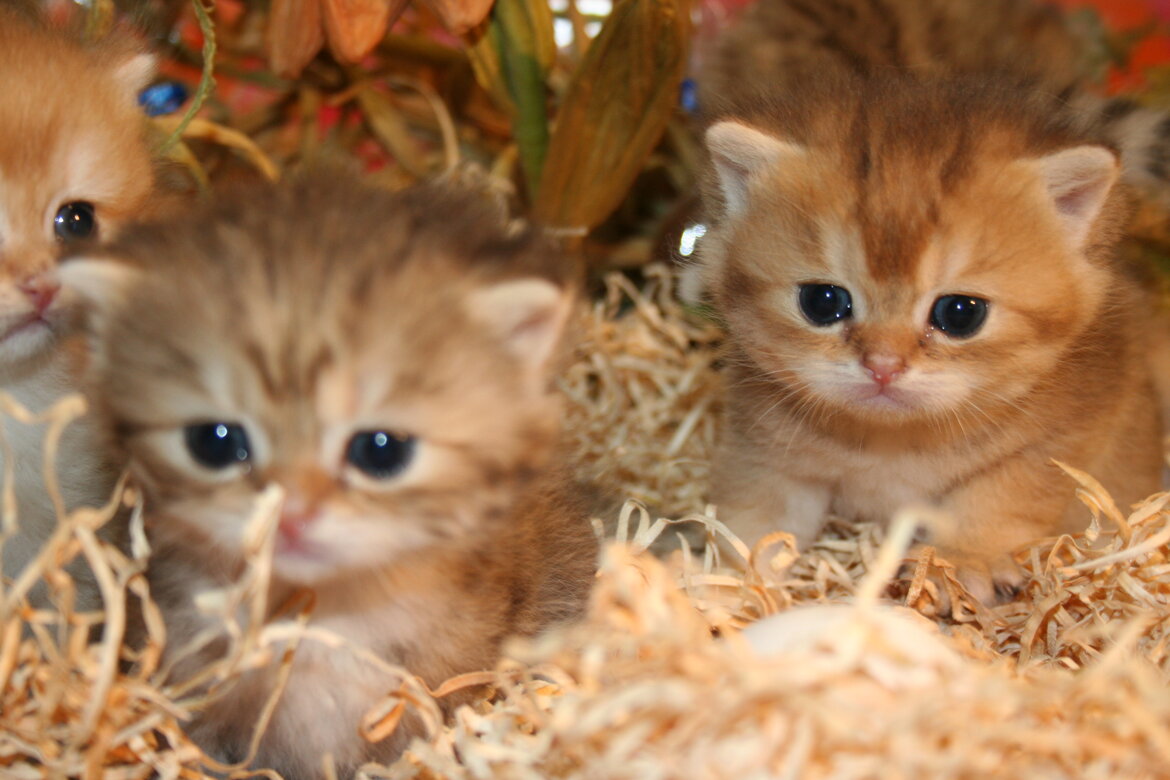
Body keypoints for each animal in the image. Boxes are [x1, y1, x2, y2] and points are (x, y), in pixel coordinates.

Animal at [696, 73, 1163, 605]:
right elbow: (757, 521)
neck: (894, 444)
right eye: (822, 302)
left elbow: (998, 499)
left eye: (960, 313)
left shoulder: (1058, 441)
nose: (883, 366)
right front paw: (729, 583)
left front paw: (960, 560)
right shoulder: (767, 450)